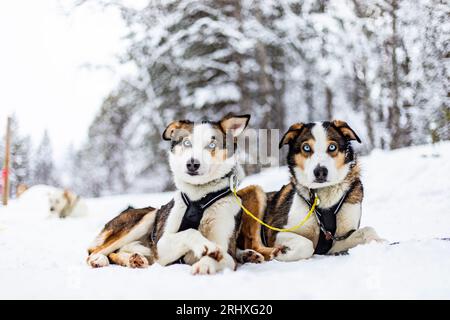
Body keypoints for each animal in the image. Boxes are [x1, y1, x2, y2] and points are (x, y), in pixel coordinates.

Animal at [86, 115, 262, 276]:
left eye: (212, 144)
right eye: (187, 143)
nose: (192, 164)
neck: (199, 197)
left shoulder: (228, 252)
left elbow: (221, 255)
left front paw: (205, 264)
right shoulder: (161, 246)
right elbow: (190, 232)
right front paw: (205, 246)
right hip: (147, 217)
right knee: (95, 251)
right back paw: (102, 259)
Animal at [239, 121, 384, 262]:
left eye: (332, 147)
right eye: (306, 148)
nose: (320, 172)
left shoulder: (335, 242)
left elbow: (368, 230)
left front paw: (381, 242)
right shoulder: (276, 232)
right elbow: (308, 245)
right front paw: (281, 253)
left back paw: (247, 255)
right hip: (256, 192)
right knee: (254, 244)